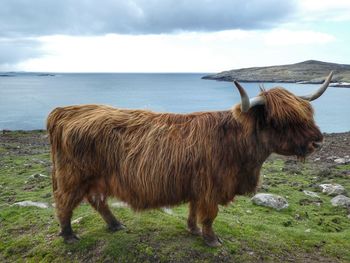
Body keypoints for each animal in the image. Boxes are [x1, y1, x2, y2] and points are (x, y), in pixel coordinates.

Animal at [47, 72, 334, 248]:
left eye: (307, 113)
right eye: (280, 121)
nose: (317, 141)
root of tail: (64, 111)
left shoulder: (198, 185)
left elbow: (194, 210)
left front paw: (193, 230)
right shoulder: (211, 187)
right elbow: (210, 215)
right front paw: (211, 239)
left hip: (95, 179)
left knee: (97, 201)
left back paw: (116, 225)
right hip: (73, 177)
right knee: (64, 203)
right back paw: (69, 235)